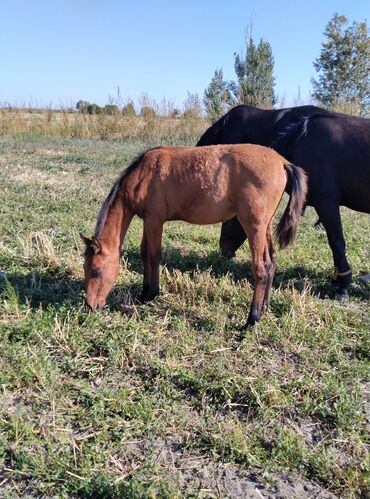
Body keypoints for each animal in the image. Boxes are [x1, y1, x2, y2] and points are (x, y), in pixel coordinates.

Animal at [81, 145, 306, 328]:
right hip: (265, 225)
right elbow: (145, 253)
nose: (90, 306)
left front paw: (152, 293)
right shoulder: (147, 220)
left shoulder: (154, 220)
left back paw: (252, 320)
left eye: (96, 272)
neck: (144, 174)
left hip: (253, 226)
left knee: (261, 267)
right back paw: (265, 307)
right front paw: (144, 293)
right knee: (272, 260)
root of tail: (282, 161)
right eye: (85, 268)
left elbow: (154, 255)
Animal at [197, 105, 370, 298]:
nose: (223, 250)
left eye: (230, 217)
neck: (301, 140)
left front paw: (343, 285)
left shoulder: (327, 203)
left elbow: (337, 242)